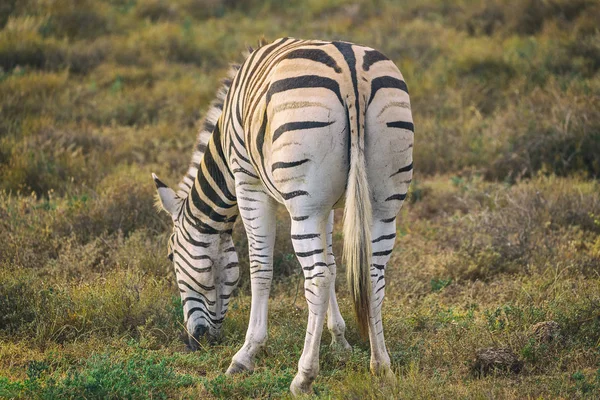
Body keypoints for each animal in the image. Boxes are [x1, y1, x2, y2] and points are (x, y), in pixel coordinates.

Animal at [152, 37, 412, 394]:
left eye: (170, 257)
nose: (197, 342)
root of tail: (351, 72)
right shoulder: (327, 206)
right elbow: (334, 263)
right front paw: (340, 341)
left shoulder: (248, 182)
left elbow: (260, 268)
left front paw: (245, 354)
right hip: (383, 199)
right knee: (372, 275)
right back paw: (381, 366)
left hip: (303, 203)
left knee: (317, 278)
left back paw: (303, 377)